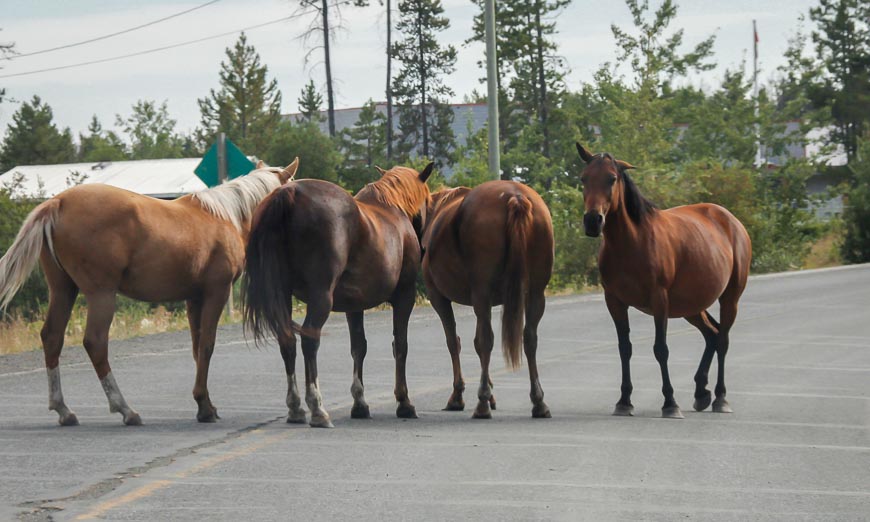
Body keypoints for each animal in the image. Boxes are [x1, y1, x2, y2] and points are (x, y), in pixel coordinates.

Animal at [0, 160, 300, 424]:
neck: (225, 217)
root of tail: (58, 202)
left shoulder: (194, 298)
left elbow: (196, 348)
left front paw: (204, 403)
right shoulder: (216, 292)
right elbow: (207, 345)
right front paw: (204, 407)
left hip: (63, 290)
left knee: (52, 337)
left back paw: (63, 409)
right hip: (101, 294)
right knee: (95, 343)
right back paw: (125, 409)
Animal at [242, 162, 432, 426]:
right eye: (429, 200)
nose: (424, 246)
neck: (391, 209)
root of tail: (289, 193)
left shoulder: (355, 305)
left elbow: (359, 347)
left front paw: (360, 403)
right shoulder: (405, 296)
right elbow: (400, 345)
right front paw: (404, 402)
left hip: (283, 294)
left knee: (287, 340)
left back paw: (295, 408)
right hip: (321, 297)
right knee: (309, 340)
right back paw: (317, 408)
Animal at [424, 181, 560, 416]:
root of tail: (515, 197)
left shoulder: (438, 297)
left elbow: (454, 342)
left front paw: (459, 395)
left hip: (481, 293)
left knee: (485, 340)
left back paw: (482, 404)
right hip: (535, 294)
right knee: (529, 338)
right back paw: (538, 401)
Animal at [576, 143, 752, 418]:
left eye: (611, 178)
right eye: (584, 179)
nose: (593, 221)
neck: (632, 242)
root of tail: (731, 220)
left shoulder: (659, 300)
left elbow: (661, 349)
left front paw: (670, 402)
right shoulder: (614, 302)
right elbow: (624, 348)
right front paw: (624, 401)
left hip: (729, 298)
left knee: (722, 339)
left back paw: (720, 398)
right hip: (691, 306)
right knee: (712, 334)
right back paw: (701, 392)